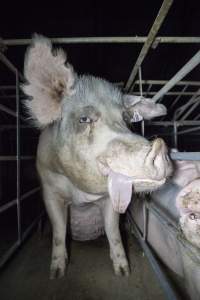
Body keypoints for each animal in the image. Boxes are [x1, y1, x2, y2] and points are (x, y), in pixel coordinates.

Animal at [21, 34, 172, 278]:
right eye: (84, 119)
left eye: (126, 119)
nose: (159, 147)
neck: (80, 195)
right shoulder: (48, 188)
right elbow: (59, 230)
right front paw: (56, 274)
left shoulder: (110, 199)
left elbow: (113, 232)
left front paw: (123, 272)